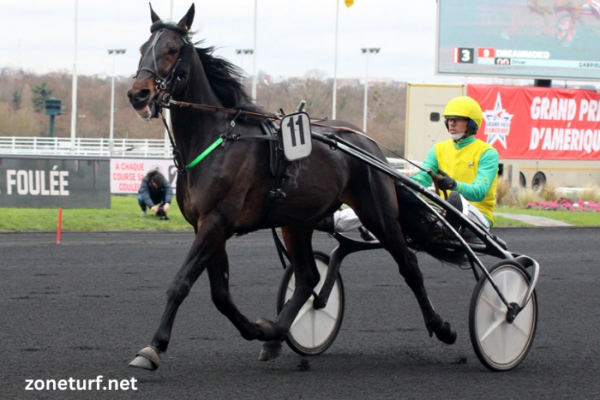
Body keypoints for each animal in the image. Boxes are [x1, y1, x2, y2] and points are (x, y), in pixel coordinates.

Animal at [126, 3, 464, 372]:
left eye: (172, 49)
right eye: (143, 48)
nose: (138, 94)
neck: (219, 140)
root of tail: (365, 141)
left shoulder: (216, 223)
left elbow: (181, 283)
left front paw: (153, 346)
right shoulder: (205, 226)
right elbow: (221, 294)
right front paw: (260, 329)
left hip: (379, 214)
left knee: (409, 266)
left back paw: (442, 326)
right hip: (297, 221)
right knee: (307, 277)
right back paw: (276, 333)